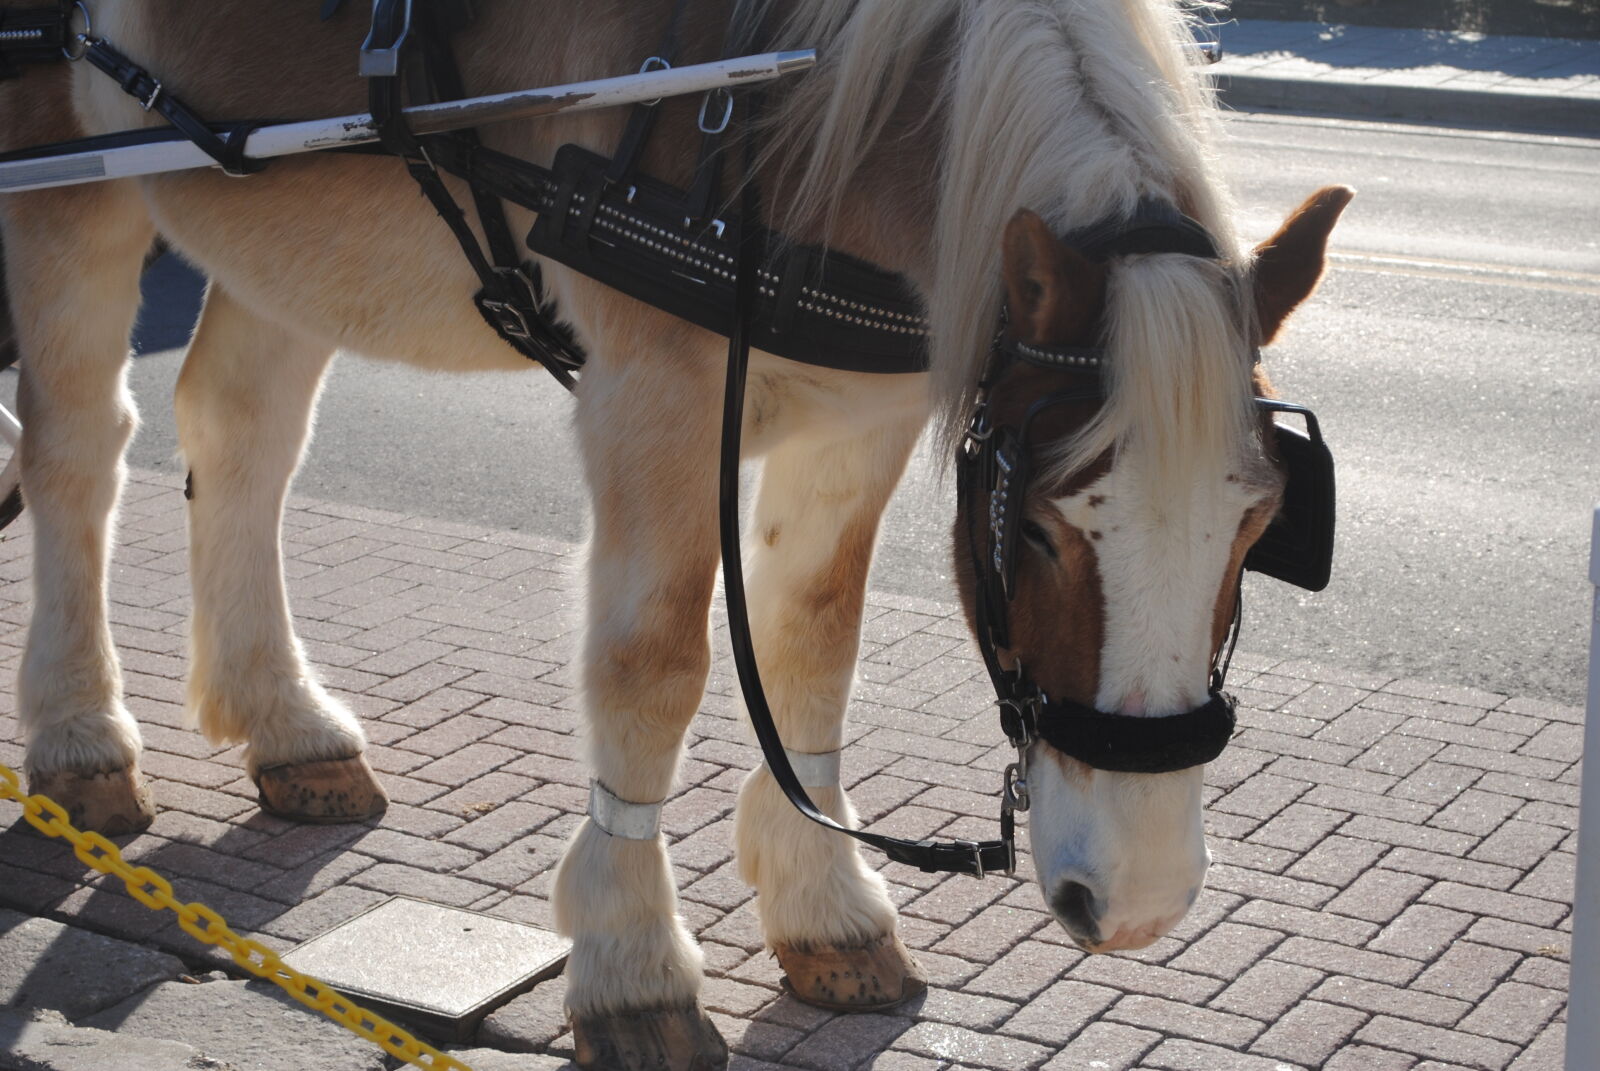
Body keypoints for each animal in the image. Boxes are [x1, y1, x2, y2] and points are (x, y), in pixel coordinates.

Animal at [0, 1, 1351, 1067]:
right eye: (1047, 529)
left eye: (1259, 524)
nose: (1138, 900)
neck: (786, 87)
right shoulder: (656, 393)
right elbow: (651, 668)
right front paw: (632, 961)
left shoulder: (856, 414)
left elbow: (815, 642)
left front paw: (825, 904)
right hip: (69, 186)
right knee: (76, 452)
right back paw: (79, 739)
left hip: (284, 235)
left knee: (242, 435)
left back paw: (284, 723)